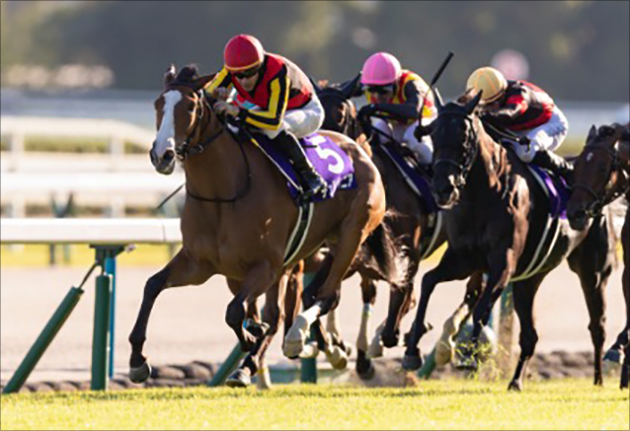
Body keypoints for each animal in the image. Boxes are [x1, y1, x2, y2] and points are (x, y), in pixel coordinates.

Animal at [129, 66, 398, 390]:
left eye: (191, 107)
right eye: (158, 104)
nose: (162, 155)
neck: (224, 193)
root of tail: (359, 148)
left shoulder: (266, 266)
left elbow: (236, 312)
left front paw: (252, 336)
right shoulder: (199, 264)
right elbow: (152, 285)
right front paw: (137, 361)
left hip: (350, 237)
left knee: (324, 296)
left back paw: (295, 340)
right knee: (278, 310)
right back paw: (251, 364)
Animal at [404, 93, 624, 394]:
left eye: (464, 137)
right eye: (434, 134)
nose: (442, 188)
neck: (484, 193)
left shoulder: (503, 264)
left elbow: (481, 308)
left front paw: (470, 356)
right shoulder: (461, 259)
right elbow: (428, 282)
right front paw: (411, 349)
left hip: (593, 272)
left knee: (597, 326)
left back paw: (599, 378)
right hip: (529, 279)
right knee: (530, 336)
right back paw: (516, 381)